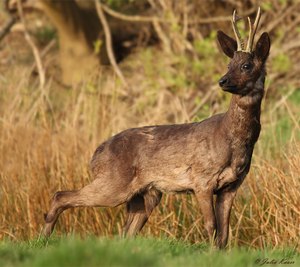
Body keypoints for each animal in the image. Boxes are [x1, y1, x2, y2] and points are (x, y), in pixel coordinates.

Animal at [43, 8, 270, 251]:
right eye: (228, 65)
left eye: (246, 66)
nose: (223, 80)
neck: (231, 139)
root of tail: (95, 155)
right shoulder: (201, 179)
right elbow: (212, 226)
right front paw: (210, 253)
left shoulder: (232, 186)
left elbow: (225, 232)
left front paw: (219, 253)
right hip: (114, 183)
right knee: (61, 195)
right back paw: (43, 238)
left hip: (146, 194)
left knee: (125, 232)